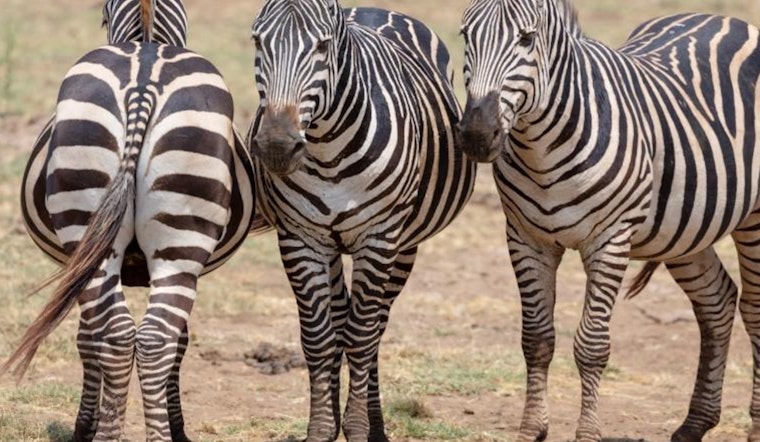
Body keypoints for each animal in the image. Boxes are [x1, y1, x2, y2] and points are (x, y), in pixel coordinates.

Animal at [3, 0, 258, 440]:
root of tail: (143, 82)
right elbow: (173, 342)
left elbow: (90, 340)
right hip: (171, 241)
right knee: (148, 338)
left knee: (123, 335)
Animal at [247, 0, 476, 440]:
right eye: (258, 42)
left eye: (322, 46)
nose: (276, 147)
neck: (326, 152)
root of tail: (370, 9)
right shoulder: (300, 239)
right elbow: (319, 338)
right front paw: (323, 428)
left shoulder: (379, 238)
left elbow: (361, 336)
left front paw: (355, 428)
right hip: (333, 246)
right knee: (341, 318)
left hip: (404, 245)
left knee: (375, 329)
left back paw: (375, 425)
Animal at [455, 0, 760, 441]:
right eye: (465, 36)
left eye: (526, 39)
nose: (477, 135)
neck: (541, 149)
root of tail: (723, 18)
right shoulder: (526, 239)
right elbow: (536, 339)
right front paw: (532, 429)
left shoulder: (610, 241)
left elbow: (592, 346)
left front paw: (586, 433)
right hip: (684, 228)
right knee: (716, 300)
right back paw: (694, 424)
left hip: (752, 218)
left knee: (754, 309)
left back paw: (754, 425)